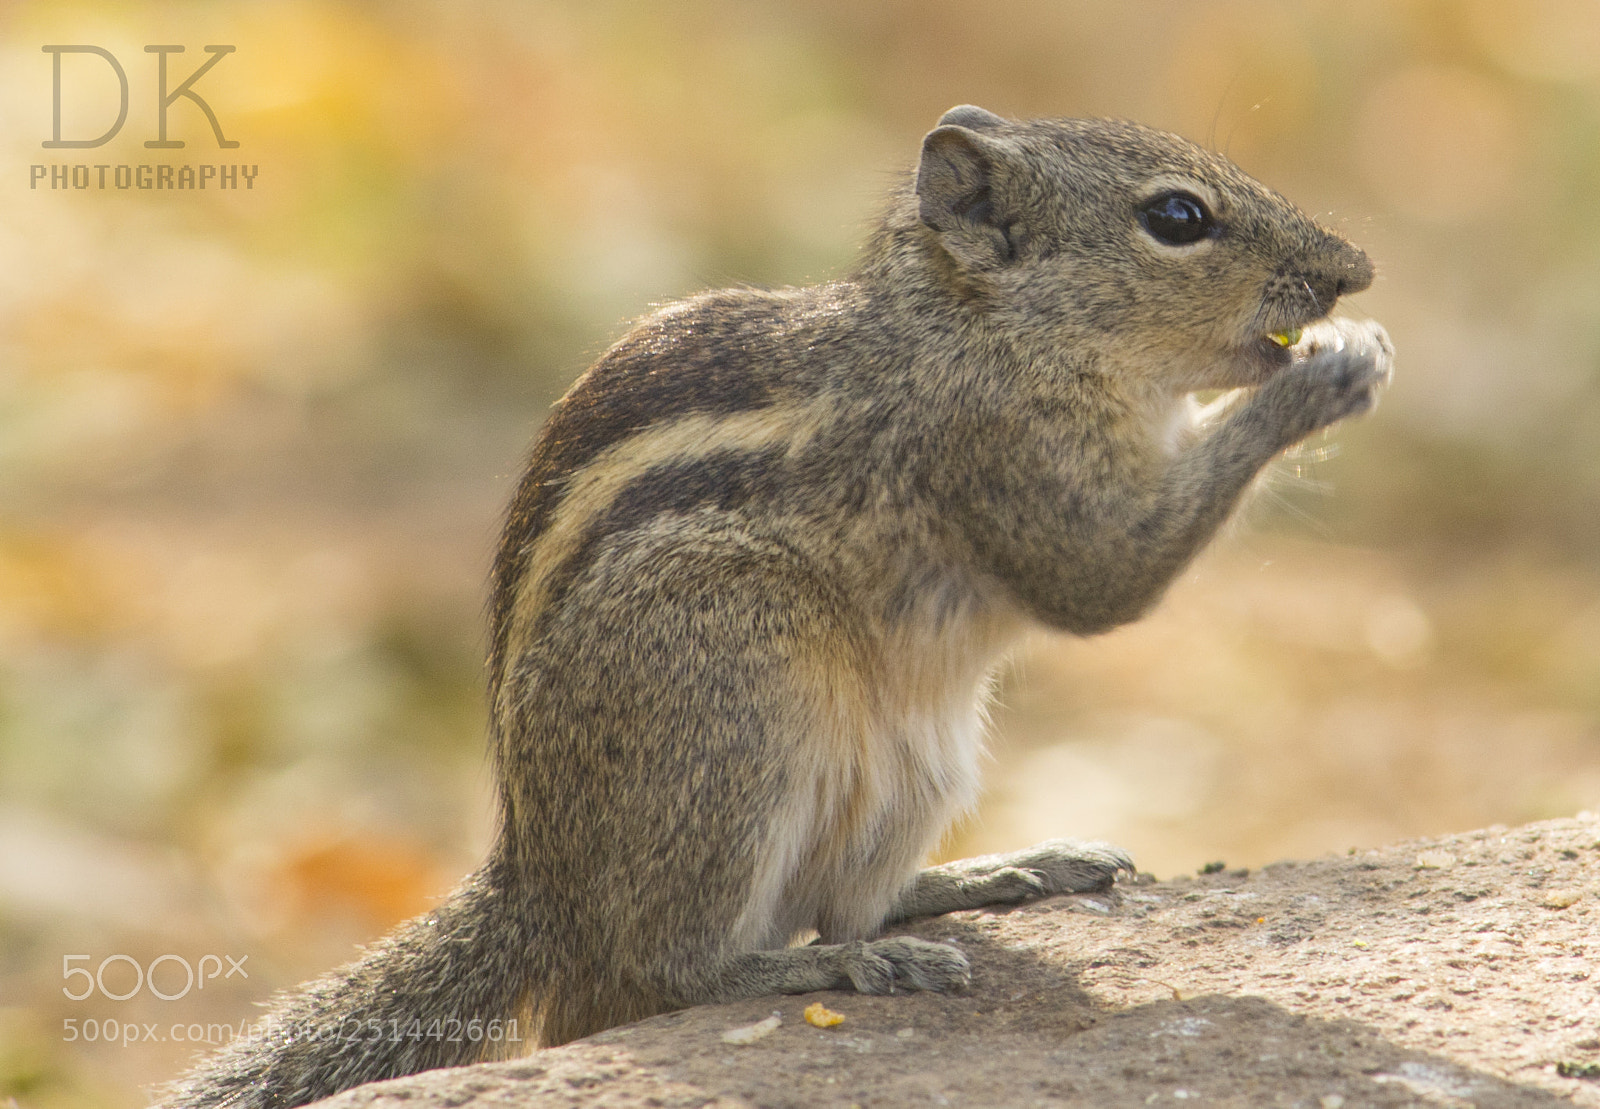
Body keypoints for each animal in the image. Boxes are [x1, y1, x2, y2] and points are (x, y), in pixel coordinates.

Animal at [162, 105, 1391, 1107]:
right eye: (1178, 217)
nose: (1357, 270)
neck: (976, 324)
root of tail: (539, 882)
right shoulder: (1009, 458)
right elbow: (1105, 574)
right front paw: (1327, 374)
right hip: (735, 691)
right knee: (668, 969)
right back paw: (835, 963)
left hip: (920, 759)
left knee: (845, 894)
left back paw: (993, 875)